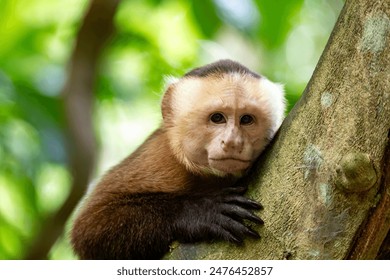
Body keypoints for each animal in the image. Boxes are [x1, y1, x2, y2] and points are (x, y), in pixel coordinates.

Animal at [71, 59, 284, 260]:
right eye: (217, 118)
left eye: (246, 119)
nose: (232, 142)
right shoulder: (161, 158)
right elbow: (88, 231)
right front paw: (201, 212)